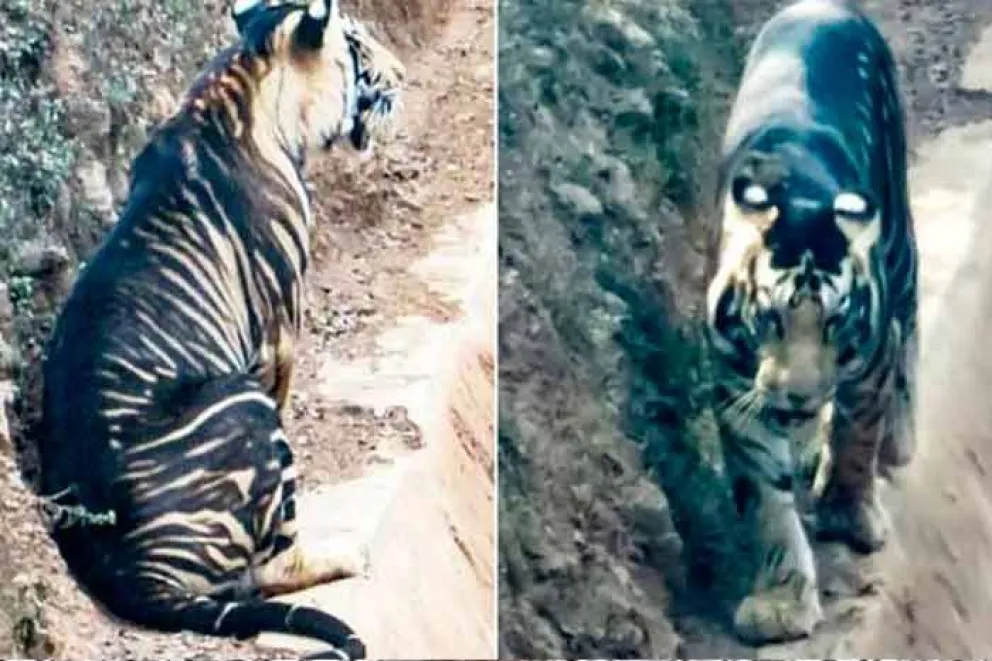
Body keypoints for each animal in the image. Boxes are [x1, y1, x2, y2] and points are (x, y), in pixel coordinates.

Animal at [35, 0, 404, 657]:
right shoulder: (280, 333)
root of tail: (130, 572)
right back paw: (345, 552)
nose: (403, 76)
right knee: (269, 568)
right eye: (360, 45)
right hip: (242, 404)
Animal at [705, 0, 918, 644]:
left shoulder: (870, 360)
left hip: (901, 248)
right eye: (770, 318)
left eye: (835, 324)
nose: (799, 395)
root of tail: (826, 6)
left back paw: (899, 440)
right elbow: (766, 505)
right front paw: (779, 604)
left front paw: (848, 514)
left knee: (911, 326)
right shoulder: (735, 386)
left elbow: (855, 436)